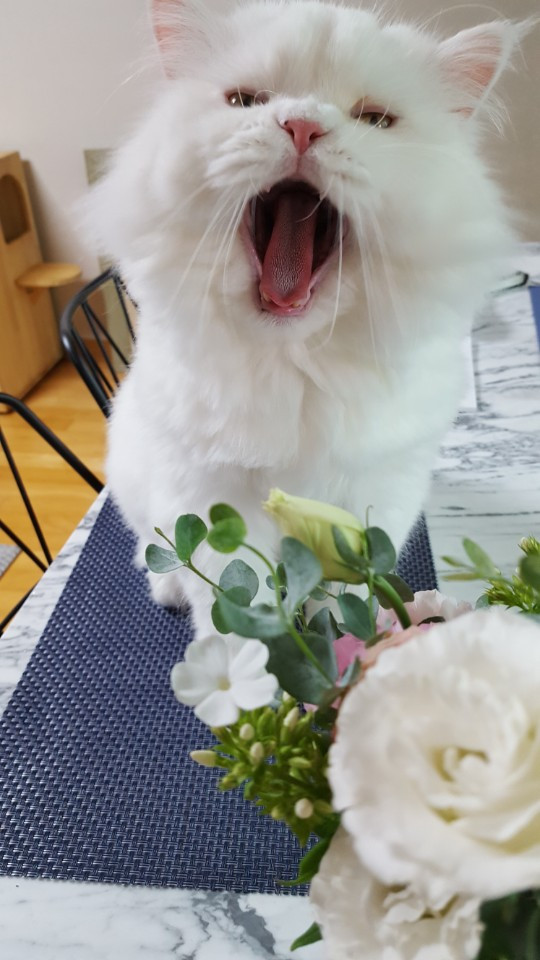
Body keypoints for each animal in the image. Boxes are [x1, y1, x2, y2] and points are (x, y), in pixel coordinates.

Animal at [89, 0, 524, 640]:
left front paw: (347, 650)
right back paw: (165, 587)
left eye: (375, 120)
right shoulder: (208, 493)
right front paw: (251, 666)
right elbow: (230, 609)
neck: (294, 360)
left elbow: (339, 593)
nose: (302, 125)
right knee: (155, 550)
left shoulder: (374, 492)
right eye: (246, 101)